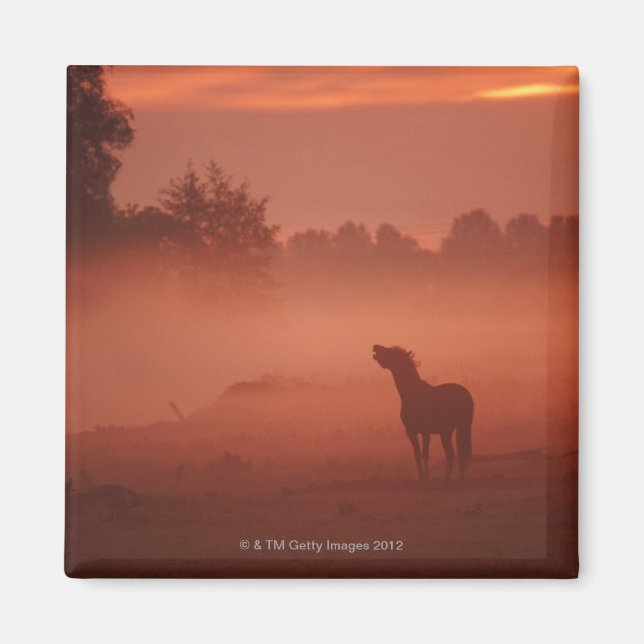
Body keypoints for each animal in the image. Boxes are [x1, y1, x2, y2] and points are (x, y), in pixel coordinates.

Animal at [372, 344, 474, 481]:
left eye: (390, 351)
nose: (375, 346)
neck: (413, 393)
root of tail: (466, 395)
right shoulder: (419, 432)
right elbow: (421, 454)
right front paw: (425, 476)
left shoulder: (418, 431)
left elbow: (421, 454)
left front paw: (424, 477)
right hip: (453, 429)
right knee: (455, 454)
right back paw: (455, 477)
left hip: (453, 429)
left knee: (455, 453)